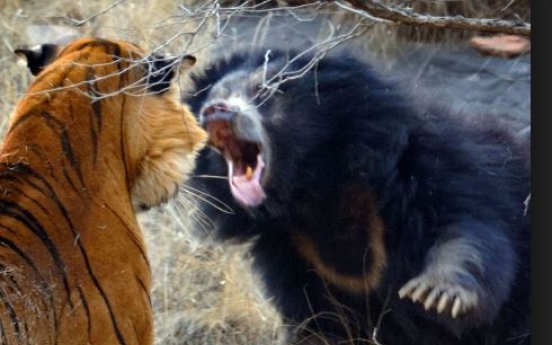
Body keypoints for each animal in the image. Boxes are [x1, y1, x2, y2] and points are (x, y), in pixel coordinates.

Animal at [185, 46, 532, 344]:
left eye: (264, 91)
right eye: (215, 97)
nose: (215, 112)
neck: (317, 191)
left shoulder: (437, 166)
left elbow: (466, 230)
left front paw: (439, 294)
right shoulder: (292, 253)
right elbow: (320, 321)